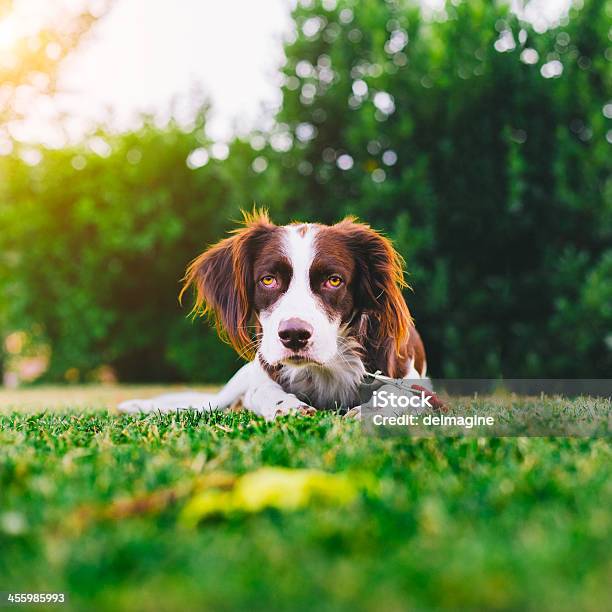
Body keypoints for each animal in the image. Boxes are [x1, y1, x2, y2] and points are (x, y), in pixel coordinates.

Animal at [118, 210, 426, 420]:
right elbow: (264, 392)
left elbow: (398, 393)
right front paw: (287, 405)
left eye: (334, 280)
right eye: (268, 280)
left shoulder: (409, 377)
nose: (294, 335)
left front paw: (369, 413)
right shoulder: (263, 372)